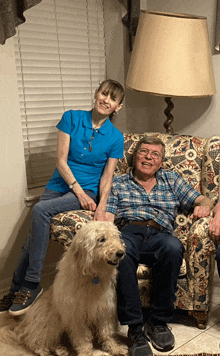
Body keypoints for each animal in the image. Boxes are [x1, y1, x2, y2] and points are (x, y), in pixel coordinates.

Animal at [0, 221, 128, 354]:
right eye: (101, 239)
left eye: (115, 236)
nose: (120, 253)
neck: (92, 277)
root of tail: (22, 326)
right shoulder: (76, 316)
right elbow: (83, 339)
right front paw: (86, 352)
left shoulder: (105, 310)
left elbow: (107, 333)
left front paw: (115, 348)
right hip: (50, 321)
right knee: (35, 341)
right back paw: (45, 351)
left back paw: (60, 350)